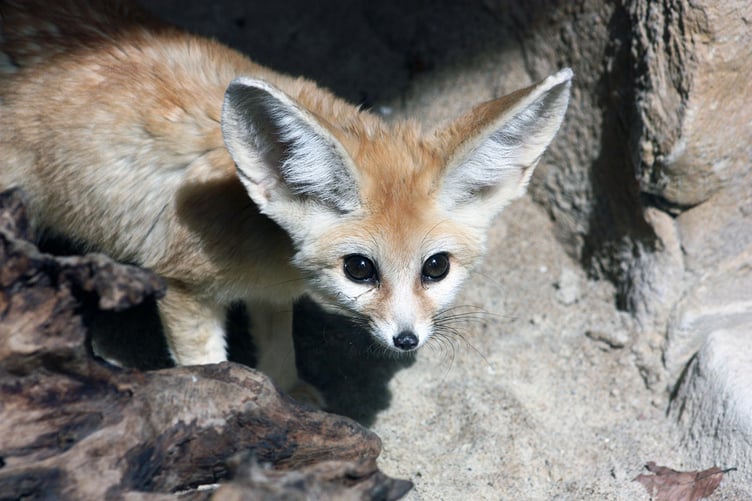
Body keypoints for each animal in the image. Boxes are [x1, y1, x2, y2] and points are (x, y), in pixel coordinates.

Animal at [0, 0, 571, 403]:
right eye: (360, 269)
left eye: (436, 268)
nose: (407, 340)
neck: (260, 231)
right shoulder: (182, 288)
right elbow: (207, 369)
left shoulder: (270, 292)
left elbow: (279, 347)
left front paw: (287, 397)